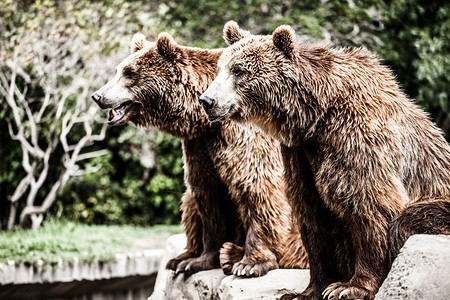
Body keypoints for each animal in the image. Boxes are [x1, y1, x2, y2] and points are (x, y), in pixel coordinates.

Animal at [91, 32, 310, 276]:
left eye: (129, 73)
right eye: (118, 70)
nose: (98, 96)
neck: (204, 121)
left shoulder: (243, 137)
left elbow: (258, 187)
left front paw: (251, 263)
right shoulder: (200, 145)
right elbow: (208, 195)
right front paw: (200, 260)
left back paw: (233, 254)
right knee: (189, 205)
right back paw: (186, 257)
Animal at [200, 21, 450, 300]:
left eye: (239, 71)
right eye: (220, 68)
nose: (207, 101)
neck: (315, 116)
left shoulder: (355, 138)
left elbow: (369, 205)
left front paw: (350, 287)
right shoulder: (301, 154)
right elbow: (313, 215)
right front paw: (307, 291)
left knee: (408, 220)